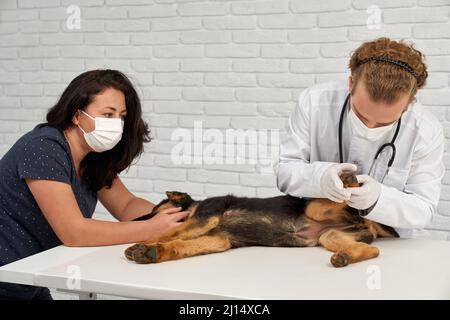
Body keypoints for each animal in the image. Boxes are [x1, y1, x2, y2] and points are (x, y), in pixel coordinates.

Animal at [123, 170, 398, 268]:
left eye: (156, 207)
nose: (137, 220)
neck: (193, 207)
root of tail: (368, 223)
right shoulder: (219, 240)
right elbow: (181, 244)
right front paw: (154, 252)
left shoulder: (205, 216)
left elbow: (169, 233)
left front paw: (144, 243)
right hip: (332, 235)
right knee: (371, 250)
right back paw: (345, 257)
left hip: (316, 208)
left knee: (351, 199)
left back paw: (348, 179)